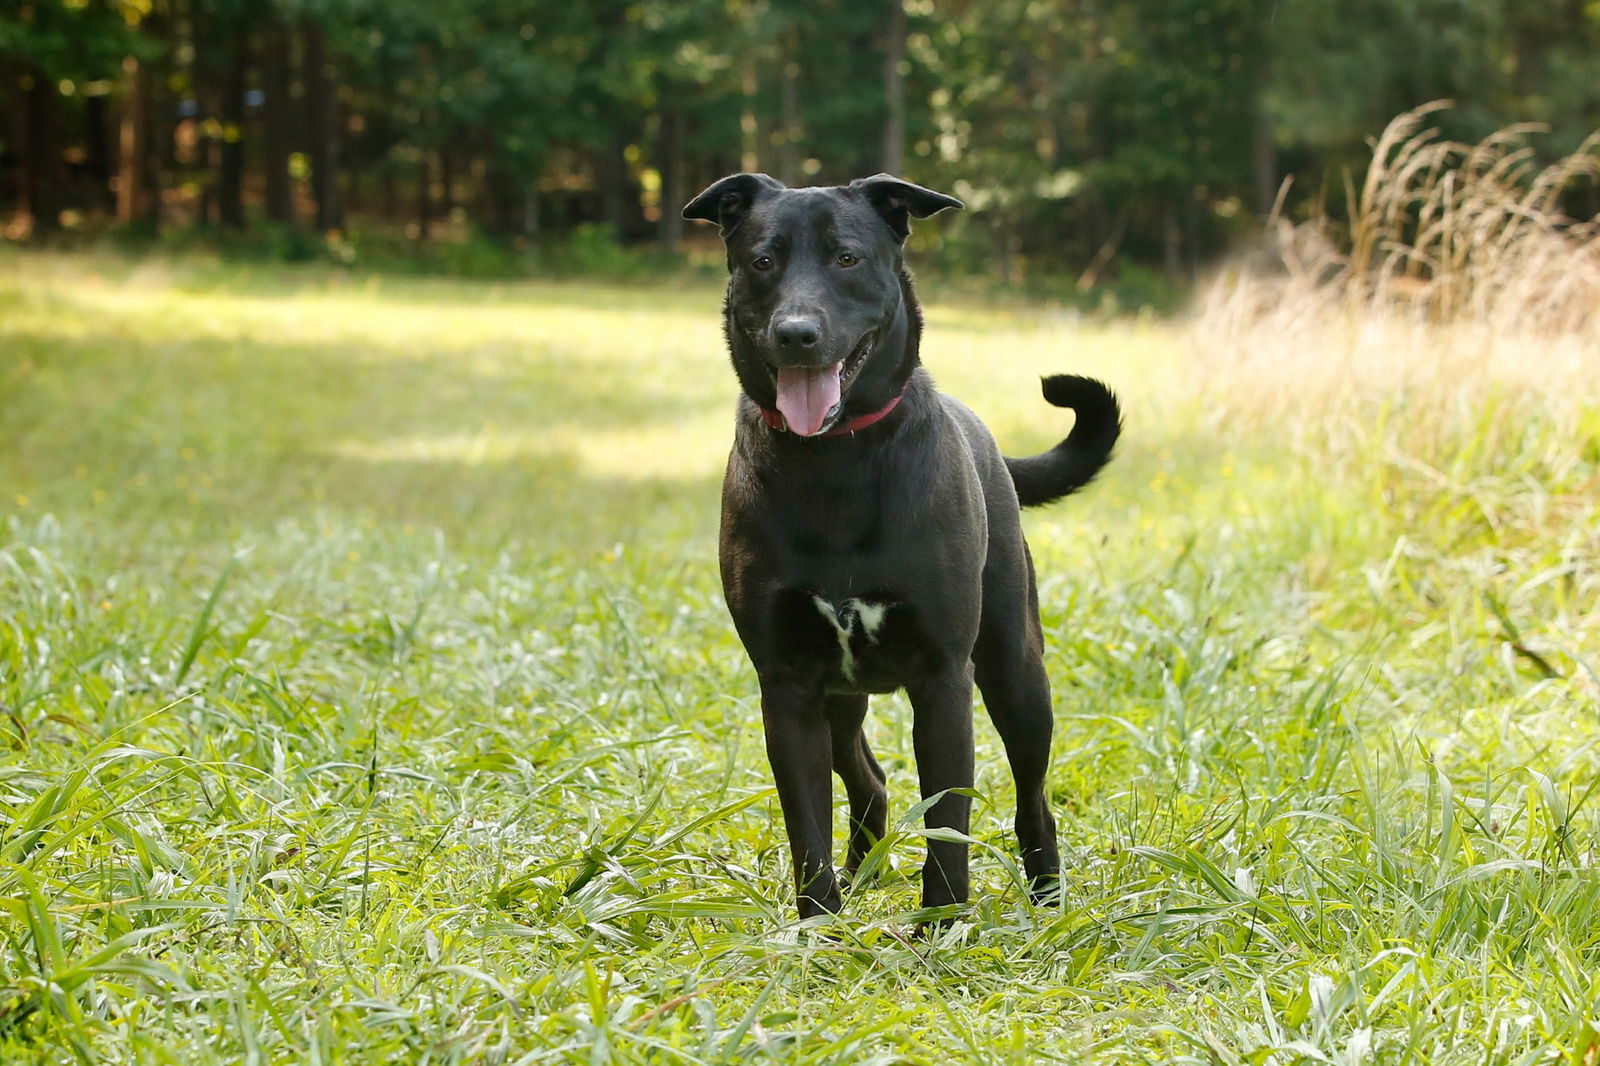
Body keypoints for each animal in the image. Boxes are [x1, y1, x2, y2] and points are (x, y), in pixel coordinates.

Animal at [681, 170, 1120, 915]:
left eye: (847, 259)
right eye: (762, 261)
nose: (796, 334)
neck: (833, 460)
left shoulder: (943, 679)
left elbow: (948, 815)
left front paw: (941, 923)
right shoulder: (788, 686)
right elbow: (807, 827)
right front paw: (818, 926)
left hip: (1017, 673)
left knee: (1032, 797)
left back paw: (1046, 896)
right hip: (841, 698)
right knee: (869, 779)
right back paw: (861, 876)